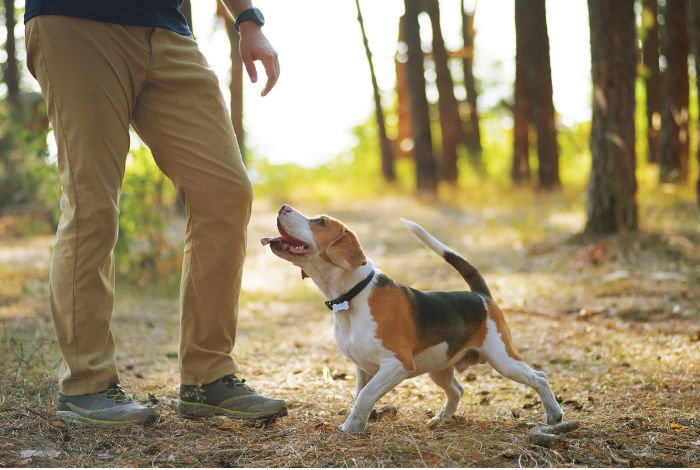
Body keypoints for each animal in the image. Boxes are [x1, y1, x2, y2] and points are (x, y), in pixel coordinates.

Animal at [262, 206, 564, 434]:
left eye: (321, 222)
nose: (283, 207)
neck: (353, 296)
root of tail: (480, 295)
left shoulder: (397, 364)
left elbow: (364, 397)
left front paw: (350, 429)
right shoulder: (364, 367)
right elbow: (360, 395)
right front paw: (358, 425)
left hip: (502, 358)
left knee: (539, 377)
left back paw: (554, 415)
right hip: (439, 367)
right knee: (457, 391)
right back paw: (439, 420)